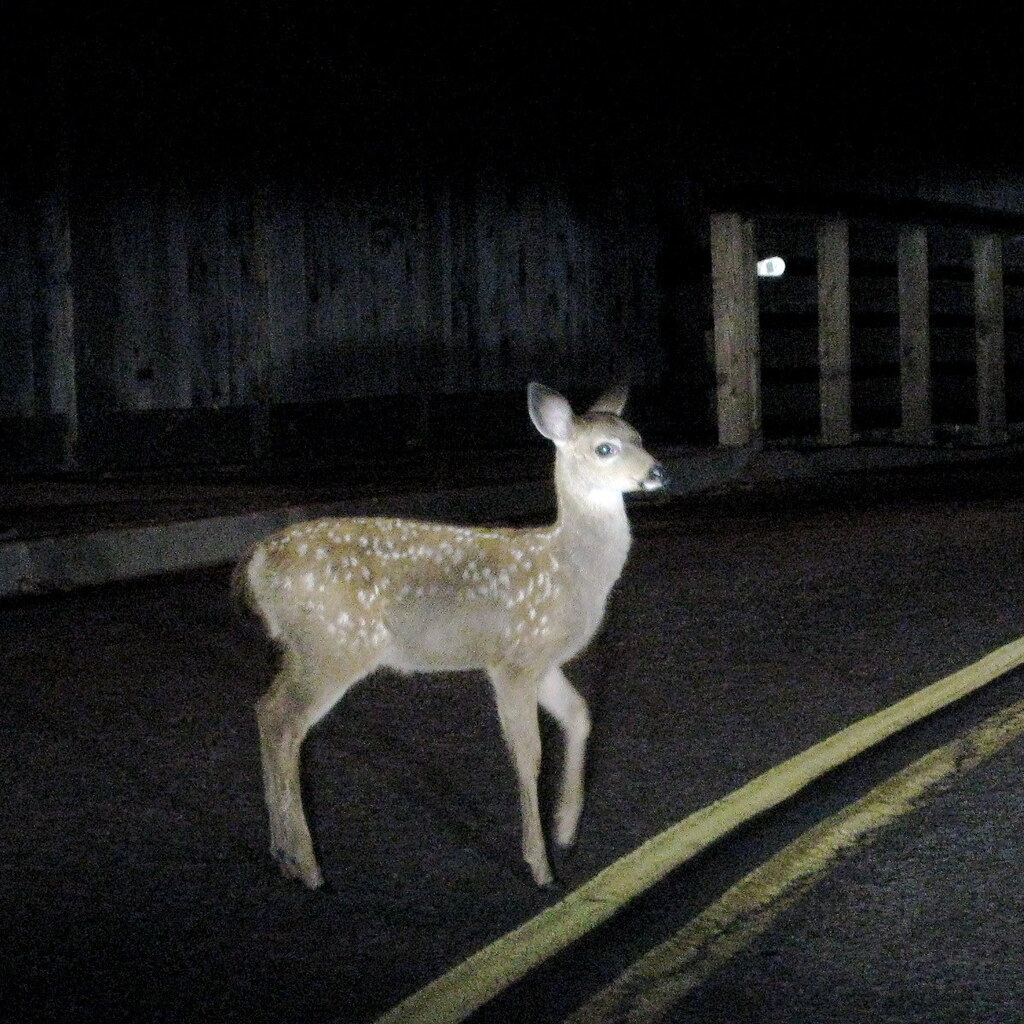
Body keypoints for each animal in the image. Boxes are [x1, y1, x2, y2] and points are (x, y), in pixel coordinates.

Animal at [235, 383, 667, 889]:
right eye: (604, 449)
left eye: (639, 436)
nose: (657, 472)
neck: (570, 572)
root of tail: (256, 561)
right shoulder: (514, 659)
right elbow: (529, 754)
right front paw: (540, 867)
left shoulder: (541, 660)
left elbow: (579, 714)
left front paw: (565, 829)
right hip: (334, 645)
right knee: (284, 723)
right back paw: (306, 865)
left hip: (304, 649)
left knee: (265, 710)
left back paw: (282, 855)